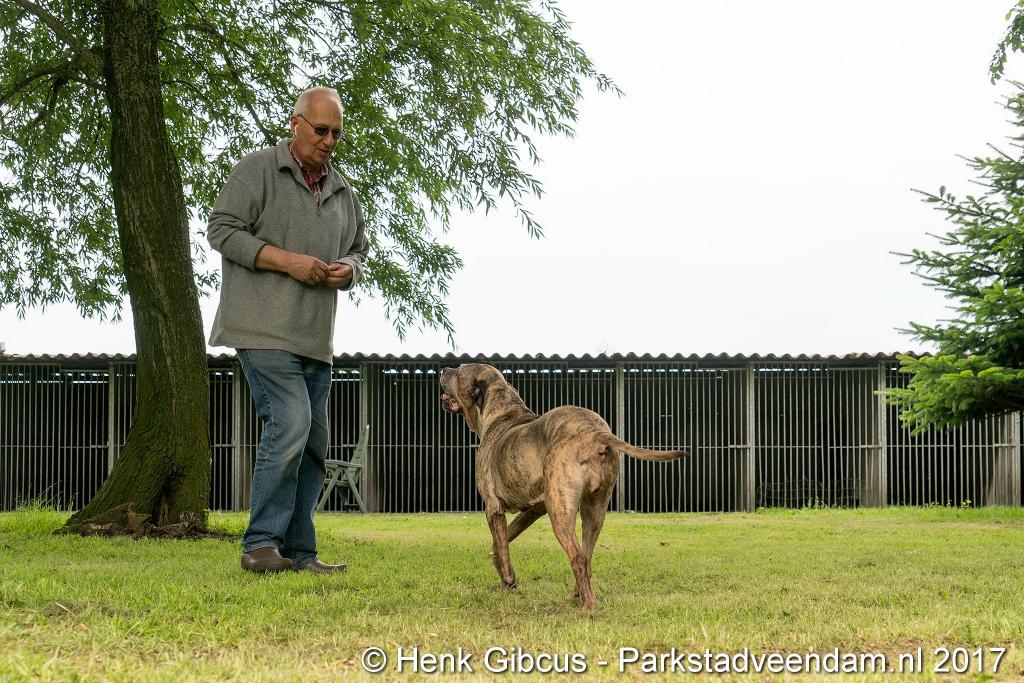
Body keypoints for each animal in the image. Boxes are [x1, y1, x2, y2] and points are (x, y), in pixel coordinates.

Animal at [439, 363, 686, 609]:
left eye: (459, 371)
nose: (443, 370)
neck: (501, 409)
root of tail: (592, 430)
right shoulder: (534, 510)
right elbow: (504, 539)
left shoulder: (493, 508)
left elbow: (502, 543)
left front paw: (508, 579)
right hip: (594, 510)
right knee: (587, 556)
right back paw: (578, 594)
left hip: (559, 509)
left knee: (577, 557)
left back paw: (588, 606)